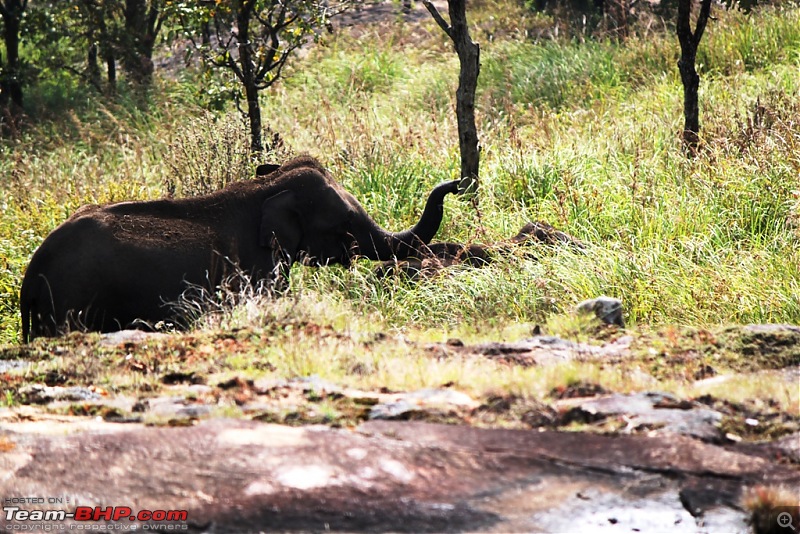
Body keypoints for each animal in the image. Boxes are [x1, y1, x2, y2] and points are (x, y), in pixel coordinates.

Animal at [21, 157, 460, 342]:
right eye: (346, 222)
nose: (458, 183)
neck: (263, 188)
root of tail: (31, 275)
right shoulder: (254, 267)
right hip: (71, 304)